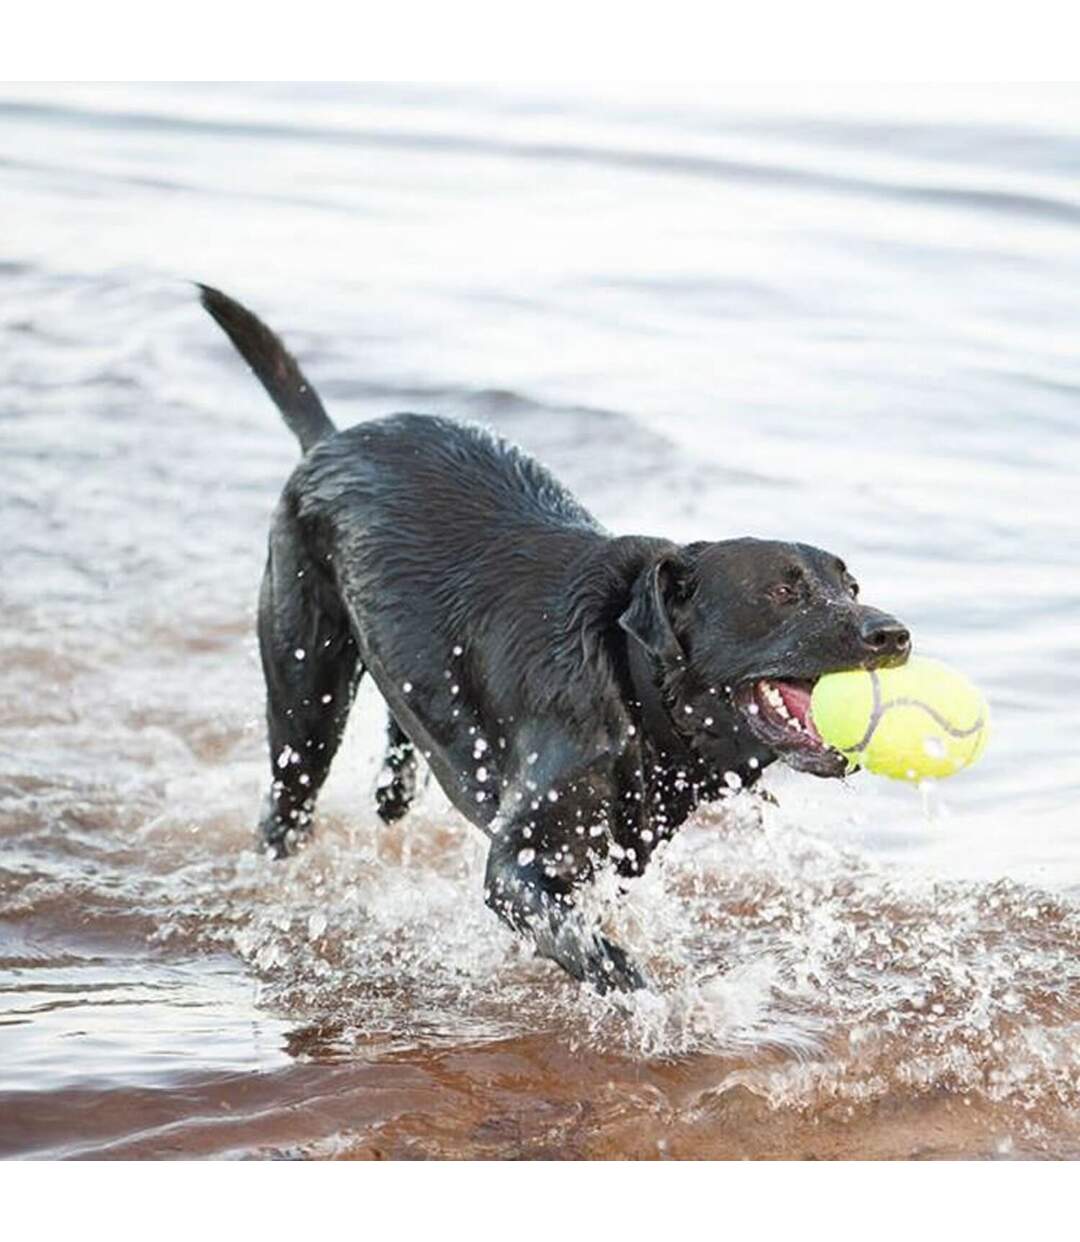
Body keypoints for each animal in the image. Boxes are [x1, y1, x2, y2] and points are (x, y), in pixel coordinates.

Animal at [198, 285, 908, 993]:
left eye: (849, 585)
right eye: (784, 591)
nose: (895, 634)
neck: (630, 686)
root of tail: (330, 440)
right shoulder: (519, 866)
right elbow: (602, 955)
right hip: (305, 696)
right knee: (287, 801)